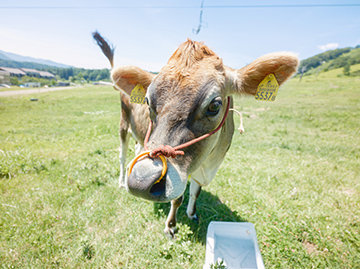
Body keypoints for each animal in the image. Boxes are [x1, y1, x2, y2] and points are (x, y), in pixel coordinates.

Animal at [93, 32, 298, 236]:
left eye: (214, 105)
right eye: (147, 101)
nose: (140, 180)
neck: (209, 163)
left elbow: (195, 192)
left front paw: (192, 214)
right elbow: (178, 198)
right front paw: (171, 226)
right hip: (123, 125)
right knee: (122, 156)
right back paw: (122, 180)